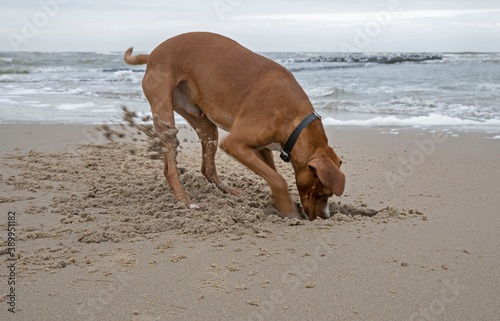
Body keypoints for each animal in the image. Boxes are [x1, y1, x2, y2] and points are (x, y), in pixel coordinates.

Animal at [124, 31, 344, 220]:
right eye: (324, 192)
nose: (325, 217)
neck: (296, 121)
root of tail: (152, 55)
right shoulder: (235, 144)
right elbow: (278, 179)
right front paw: (287, 210)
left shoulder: (261, 149)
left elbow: (273, 175)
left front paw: (279, 202)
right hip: (165, 117)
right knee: (170, 168)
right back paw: (186, 202)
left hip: (206, 126)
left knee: (208, 169)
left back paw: (228, 191)